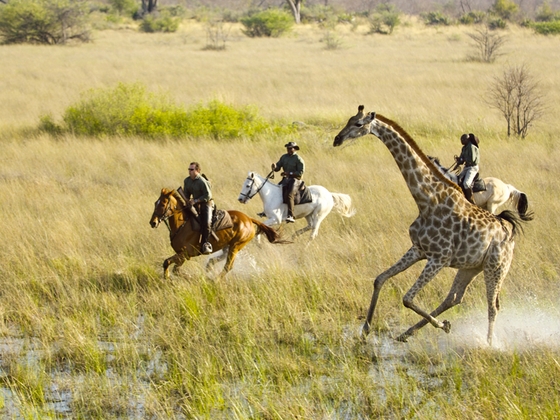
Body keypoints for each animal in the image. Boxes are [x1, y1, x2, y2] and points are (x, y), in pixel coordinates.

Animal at [149, 189, 282, 278]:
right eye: (155, 203)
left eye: (162, 204)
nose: (153, 222)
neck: (182, 224)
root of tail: (249, 219)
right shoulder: (182, 256)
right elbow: (173, 267)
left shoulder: (185, 254)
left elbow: (168, 263)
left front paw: (170, 277)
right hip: (228, 246)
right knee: (217, 260)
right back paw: (209, 269)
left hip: (236, 246)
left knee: (228, 266)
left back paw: (215, 280)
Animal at [332, 106, 524, 346]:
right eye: (348, 120)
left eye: (358, 124)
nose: (337, 139)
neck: (426, 200)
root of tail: (510, 234)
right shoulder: (418, 249)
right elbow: (380, 279)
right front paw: (365, 329)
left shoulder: (439, 258)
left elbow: (407, 298)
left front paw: (442, 325)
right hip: (470, 267)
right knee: (454, 297)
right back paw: (407, 333)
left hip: (496, 267)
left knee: (493, 306)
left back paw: (488, 345)